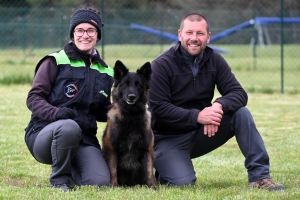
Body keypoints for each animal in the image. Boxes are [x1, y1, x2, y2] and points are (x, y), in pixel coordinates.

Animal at [102, 60, 156, 188]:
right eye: (125, 84)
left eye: (138, 85)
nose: (132, 97)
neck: (131, 116)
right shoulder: (112, 149)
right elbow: (113, 171)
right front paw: (113, 187)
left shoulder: (147, 149)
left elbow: (149, 172)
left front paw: (153, 187)